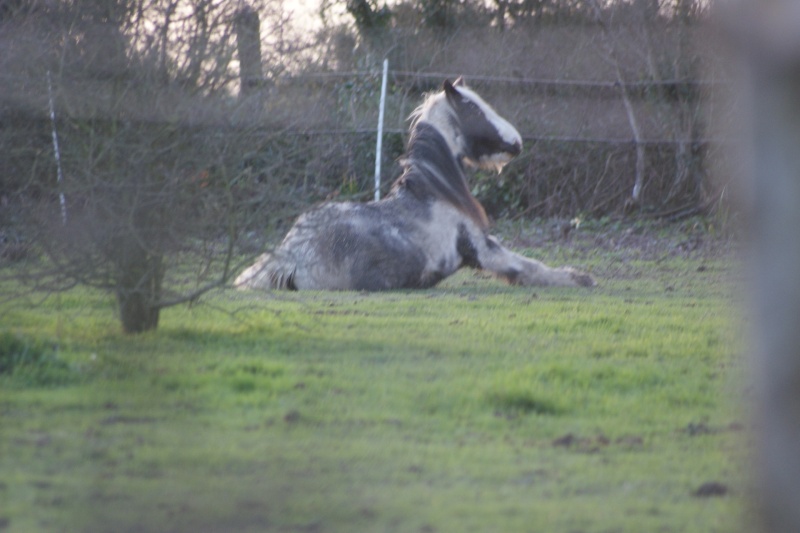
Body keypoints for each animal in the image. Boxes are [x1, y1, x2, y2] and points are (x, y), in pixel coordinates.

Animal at [233, 77, 592, 288]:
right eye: (473, 109)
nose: (516, 141)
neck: (436, 193)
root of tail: (289, 256)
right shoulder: (484, 250)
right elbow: (528, 268)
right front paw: (578, 277)